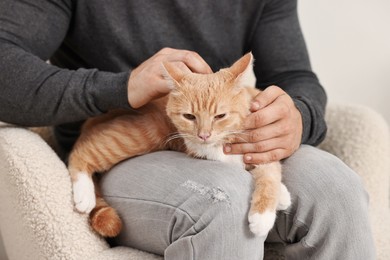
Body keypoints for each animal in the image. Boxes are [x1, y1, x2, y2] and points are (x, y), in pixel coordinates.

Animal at [68, 53, 290, 239]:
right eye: (189, 116)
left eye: (220, 116)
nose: (204, 135)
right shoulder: (197, 148)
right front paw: (263, 218)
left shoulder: (263, 146)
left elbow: (270, 176)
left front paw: (274, 201)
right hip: (140, 134)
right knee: (81, 152)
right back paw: (84, 194)